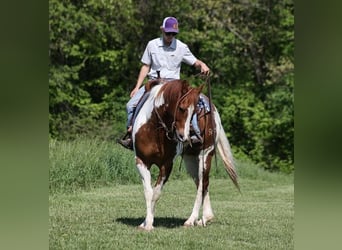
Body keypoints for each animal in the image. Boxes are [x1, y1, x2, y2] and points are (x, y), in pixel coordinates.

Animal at [132, 78, 240, 230]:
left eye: (194, 111)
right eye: (181, 108)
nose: (185, 136)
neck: (154, 130)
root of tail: (215, 112)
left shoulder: (167, 165)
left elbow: (156, 193)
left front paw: (149, 224)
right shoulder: (141, 161)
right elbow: (148, 192)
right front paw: (146, 222)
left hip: (205, 155)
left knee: (202, 185)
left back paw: (191, 219)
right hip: (190, 160)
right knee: (203, 183)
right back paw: (205, 218)